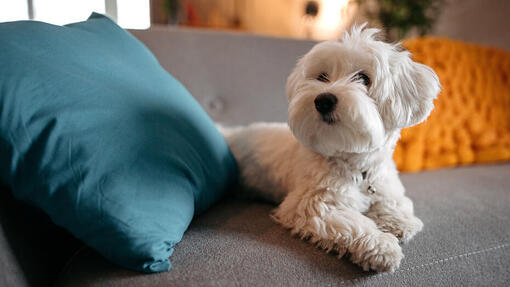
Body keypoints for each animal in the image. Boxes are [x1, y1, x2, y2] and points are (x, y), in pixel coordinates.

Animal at [221, 24, 440, 272]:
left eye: (363, 78)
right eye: (322, 77)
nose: (323, 100)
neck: (357, 168)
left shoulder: (384, 183)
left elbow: (394, 202)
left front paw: (398, 221)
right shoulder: (313, 206)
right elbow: (355, 224)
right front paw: (381, 246)